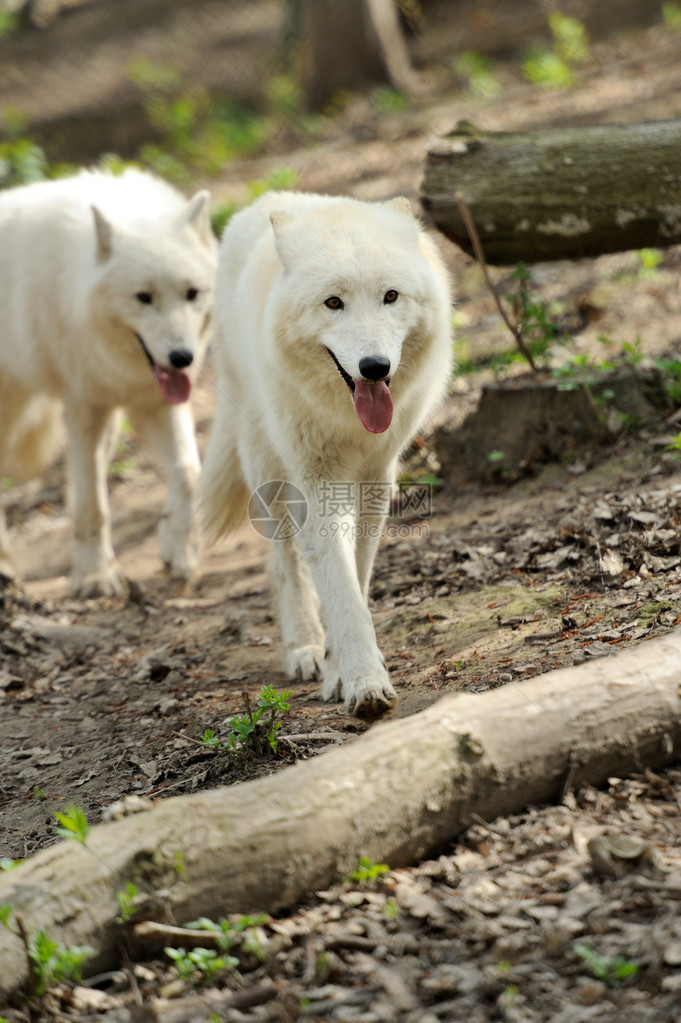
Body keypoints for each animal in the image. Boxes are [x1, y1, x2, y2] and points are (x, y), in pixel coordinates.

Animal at [0, 169, 215, 597]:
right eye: (143, 297)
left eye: (191, 294)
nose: (182, 358)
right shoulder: (84, 406)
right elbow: (93, 506)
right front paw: (95, 577)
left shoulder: (154, 401)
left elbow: (188, 472)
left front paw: (178, 550)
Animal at [199, 193, 447, 720]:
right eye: (334, 303)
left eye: (390, 296)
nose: (375, 367)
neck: (346, 420)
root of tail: (269, 201)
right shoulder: (317, 480)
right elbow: (337, 585)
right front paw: (362, 682)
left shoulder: (375, 478)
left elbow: (354, 575)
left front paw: (342, 672)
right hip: (268, 470)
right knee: (285, 564)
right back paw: (304, 648)